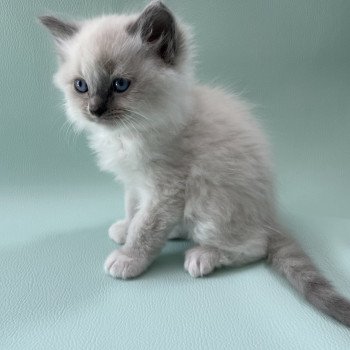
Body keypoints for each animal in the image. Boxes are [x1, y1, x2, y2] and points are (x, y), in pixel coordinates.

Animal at [39, 1, 350, 326]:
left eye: (120, 85)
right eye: (81, 86)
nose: (95, 109)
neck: (131, 133)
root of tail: (269, 216)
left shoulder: (166, 191)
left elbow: (146, 227)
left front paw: (128, 258)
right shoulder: (136, 184)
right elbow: (133, 210)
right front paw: (125, 229)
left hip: (211, 204)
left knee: (254, 246)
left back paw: (203, 256)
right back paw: (177, 231)